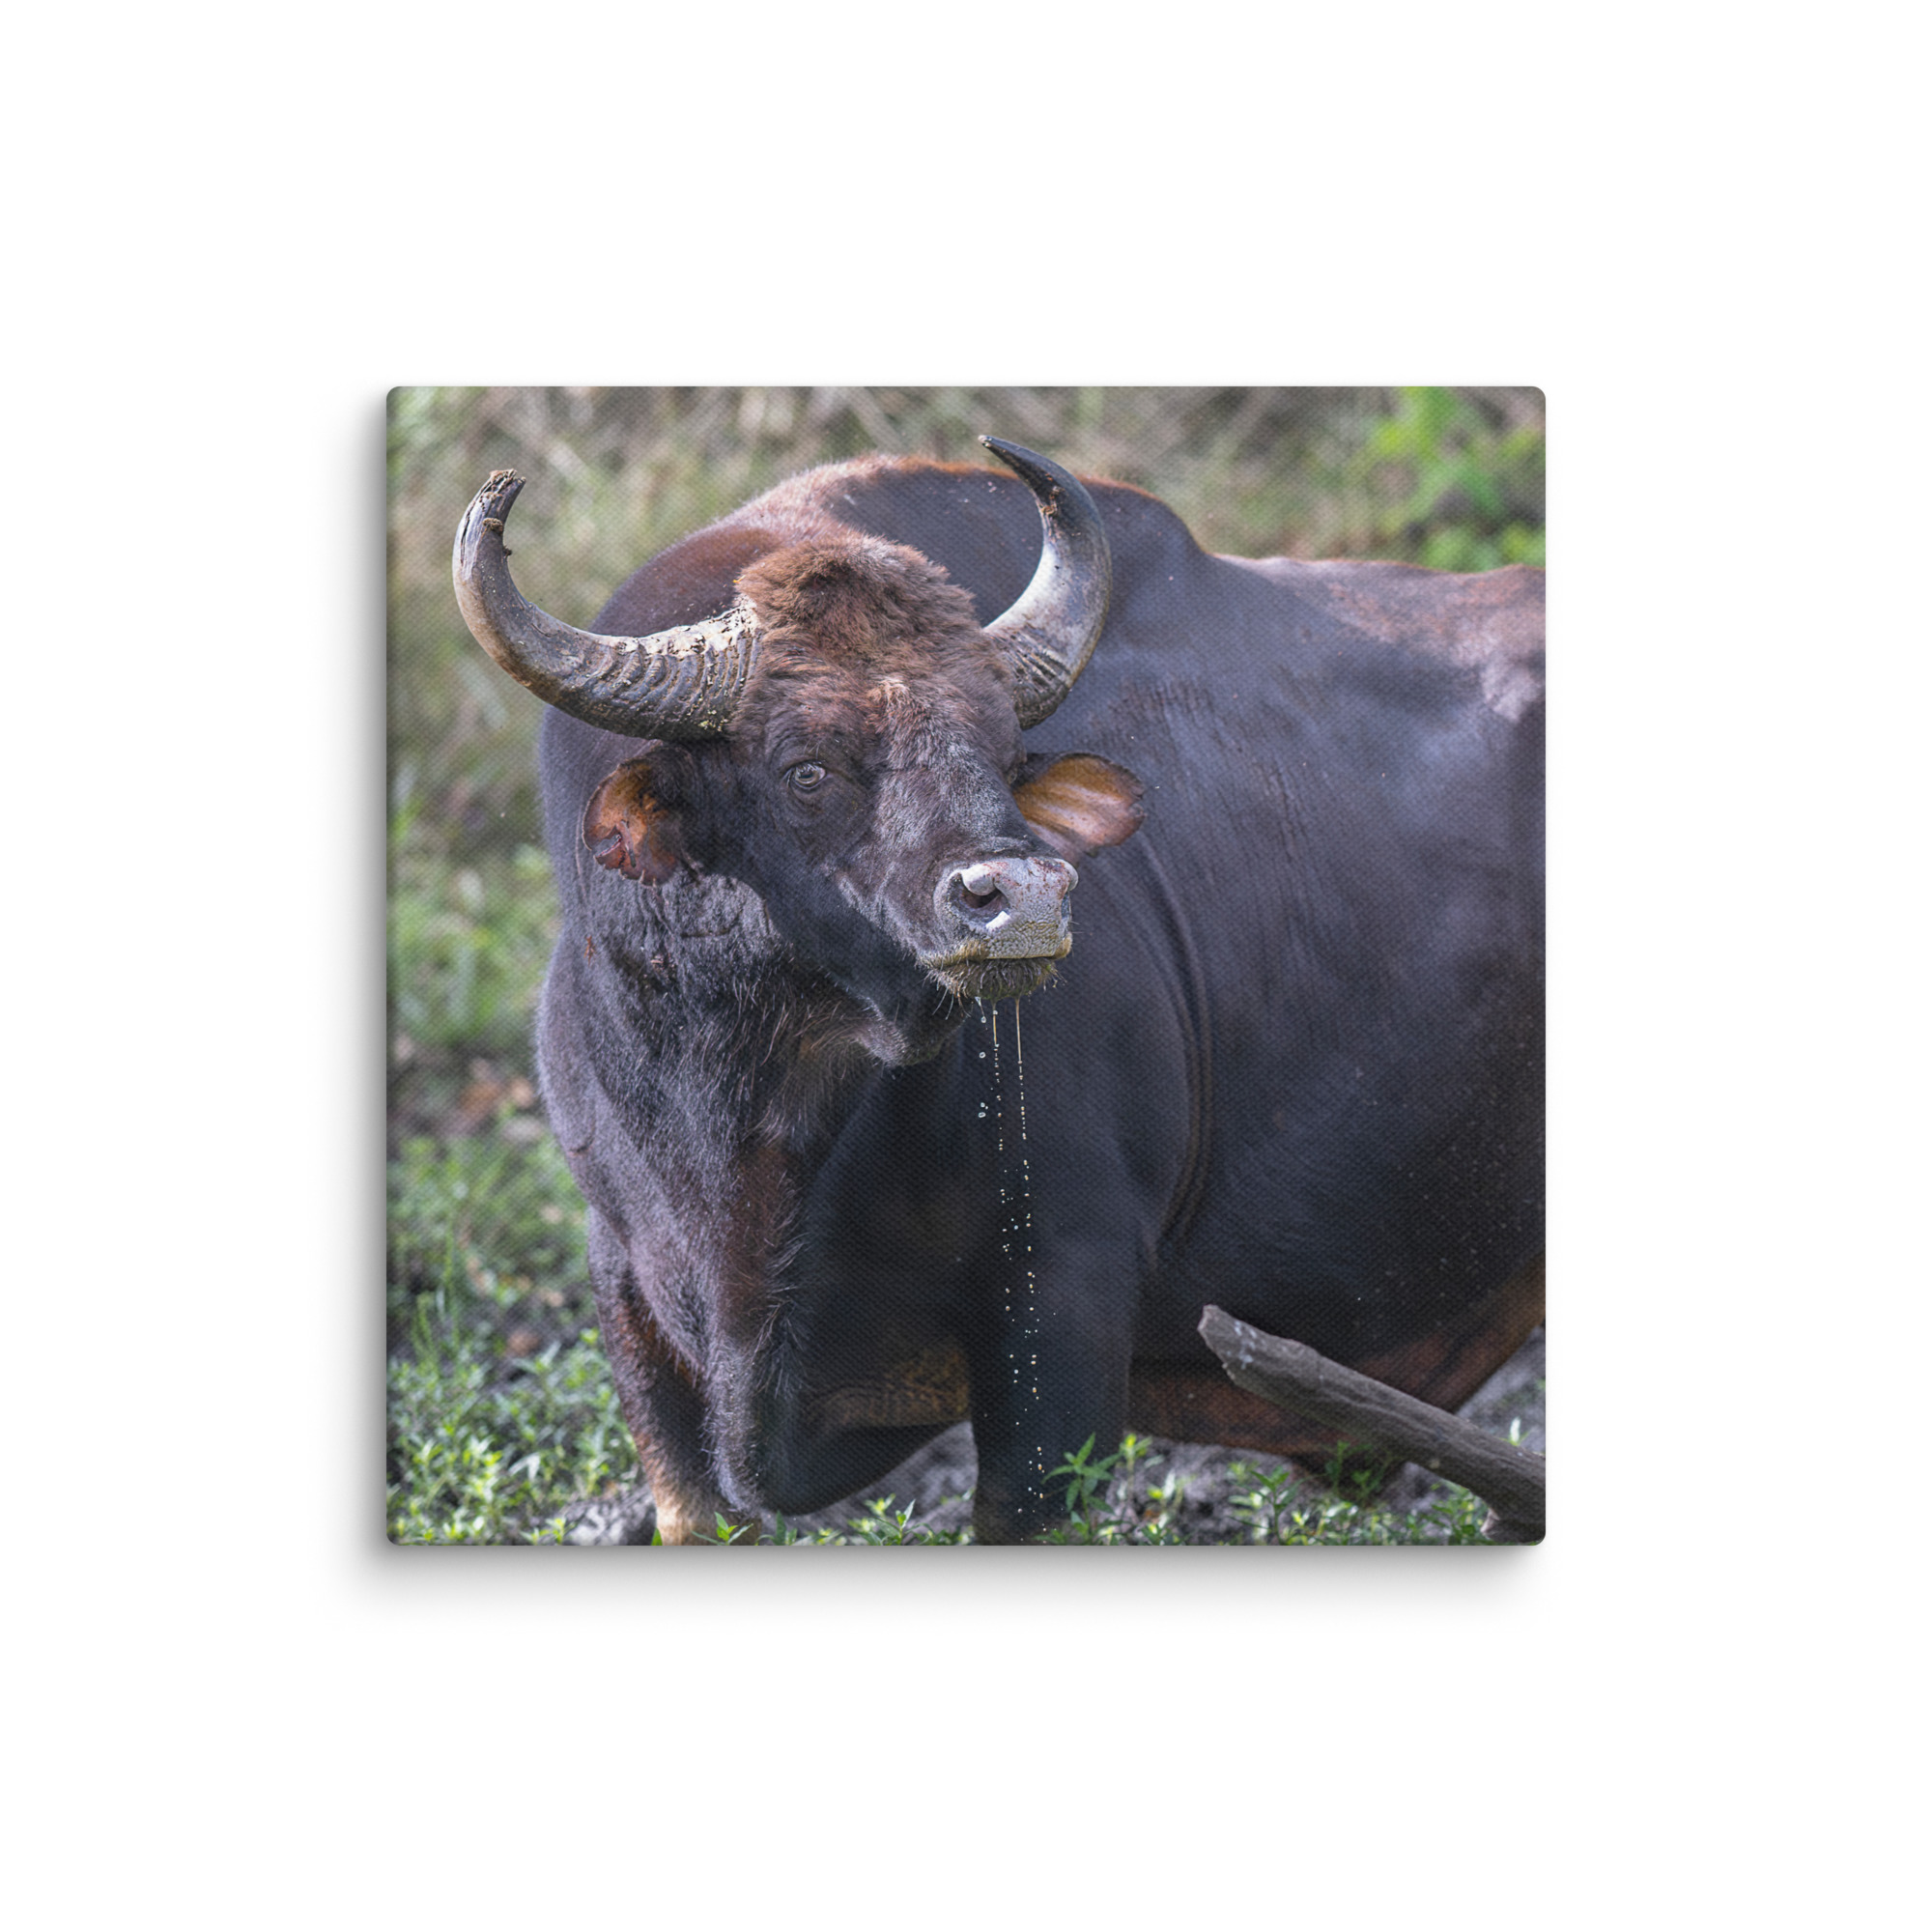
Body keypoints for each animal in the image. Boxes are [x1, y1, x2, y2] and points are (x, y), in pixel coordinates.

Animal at [451, 438, 1544, 1543]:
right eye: (805, 768)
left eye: (1001, 752)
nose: (1017, 899)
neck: (754, 1131)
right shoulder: (628, 1301)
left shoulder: (1062, 1300)